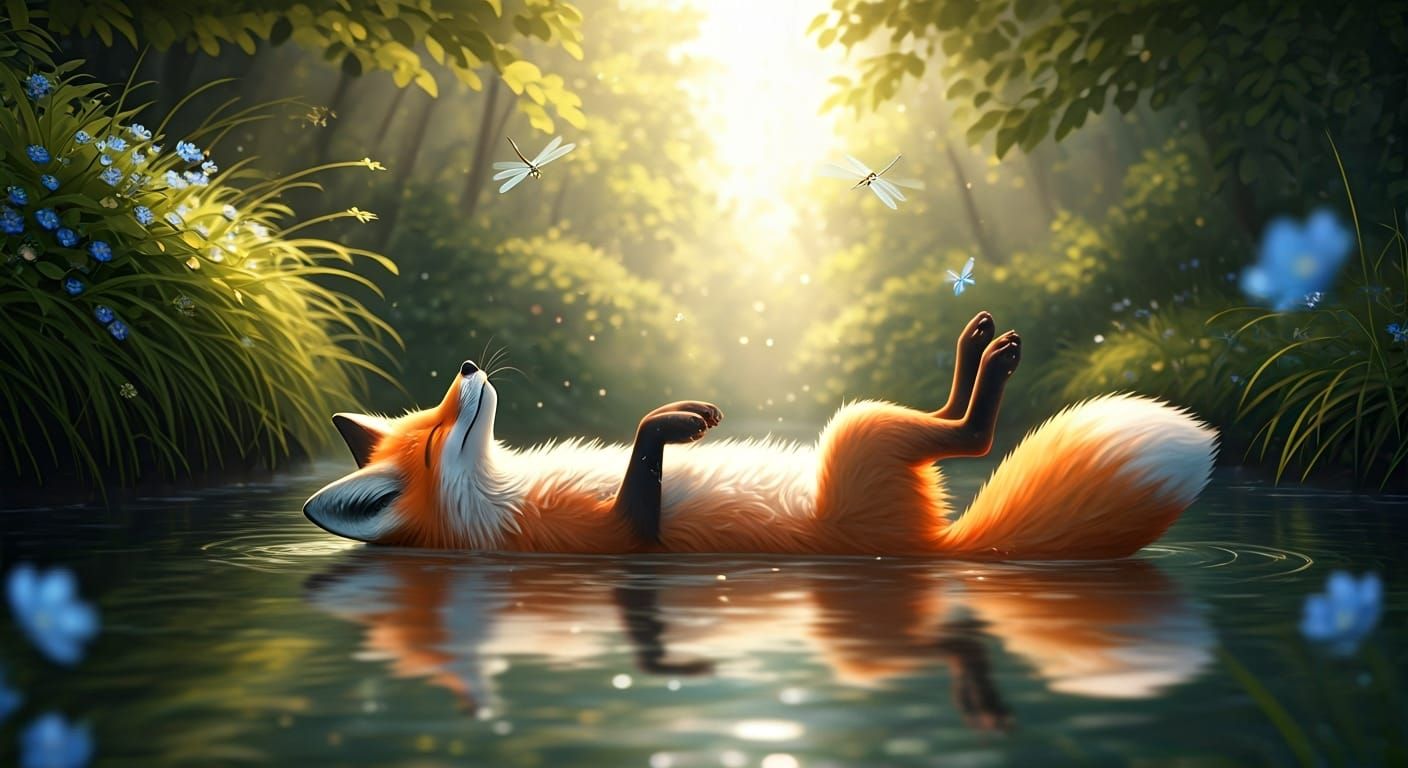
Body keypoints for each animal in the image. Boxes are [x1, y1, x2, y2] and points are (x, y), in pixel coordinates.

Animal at [303, 311, 1219, 558]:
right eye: (434, 438)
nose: (467, 367)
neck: (503, 500)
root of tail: (943, 549)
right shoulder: (617, 540)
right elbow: (644, 467)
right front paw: (674, 423)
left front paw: (680, 410)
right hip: (858, 433)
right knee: (973, 436)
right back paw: (989, 366)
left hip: (864, 428)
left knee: (960, 429)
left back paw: (974, 344)